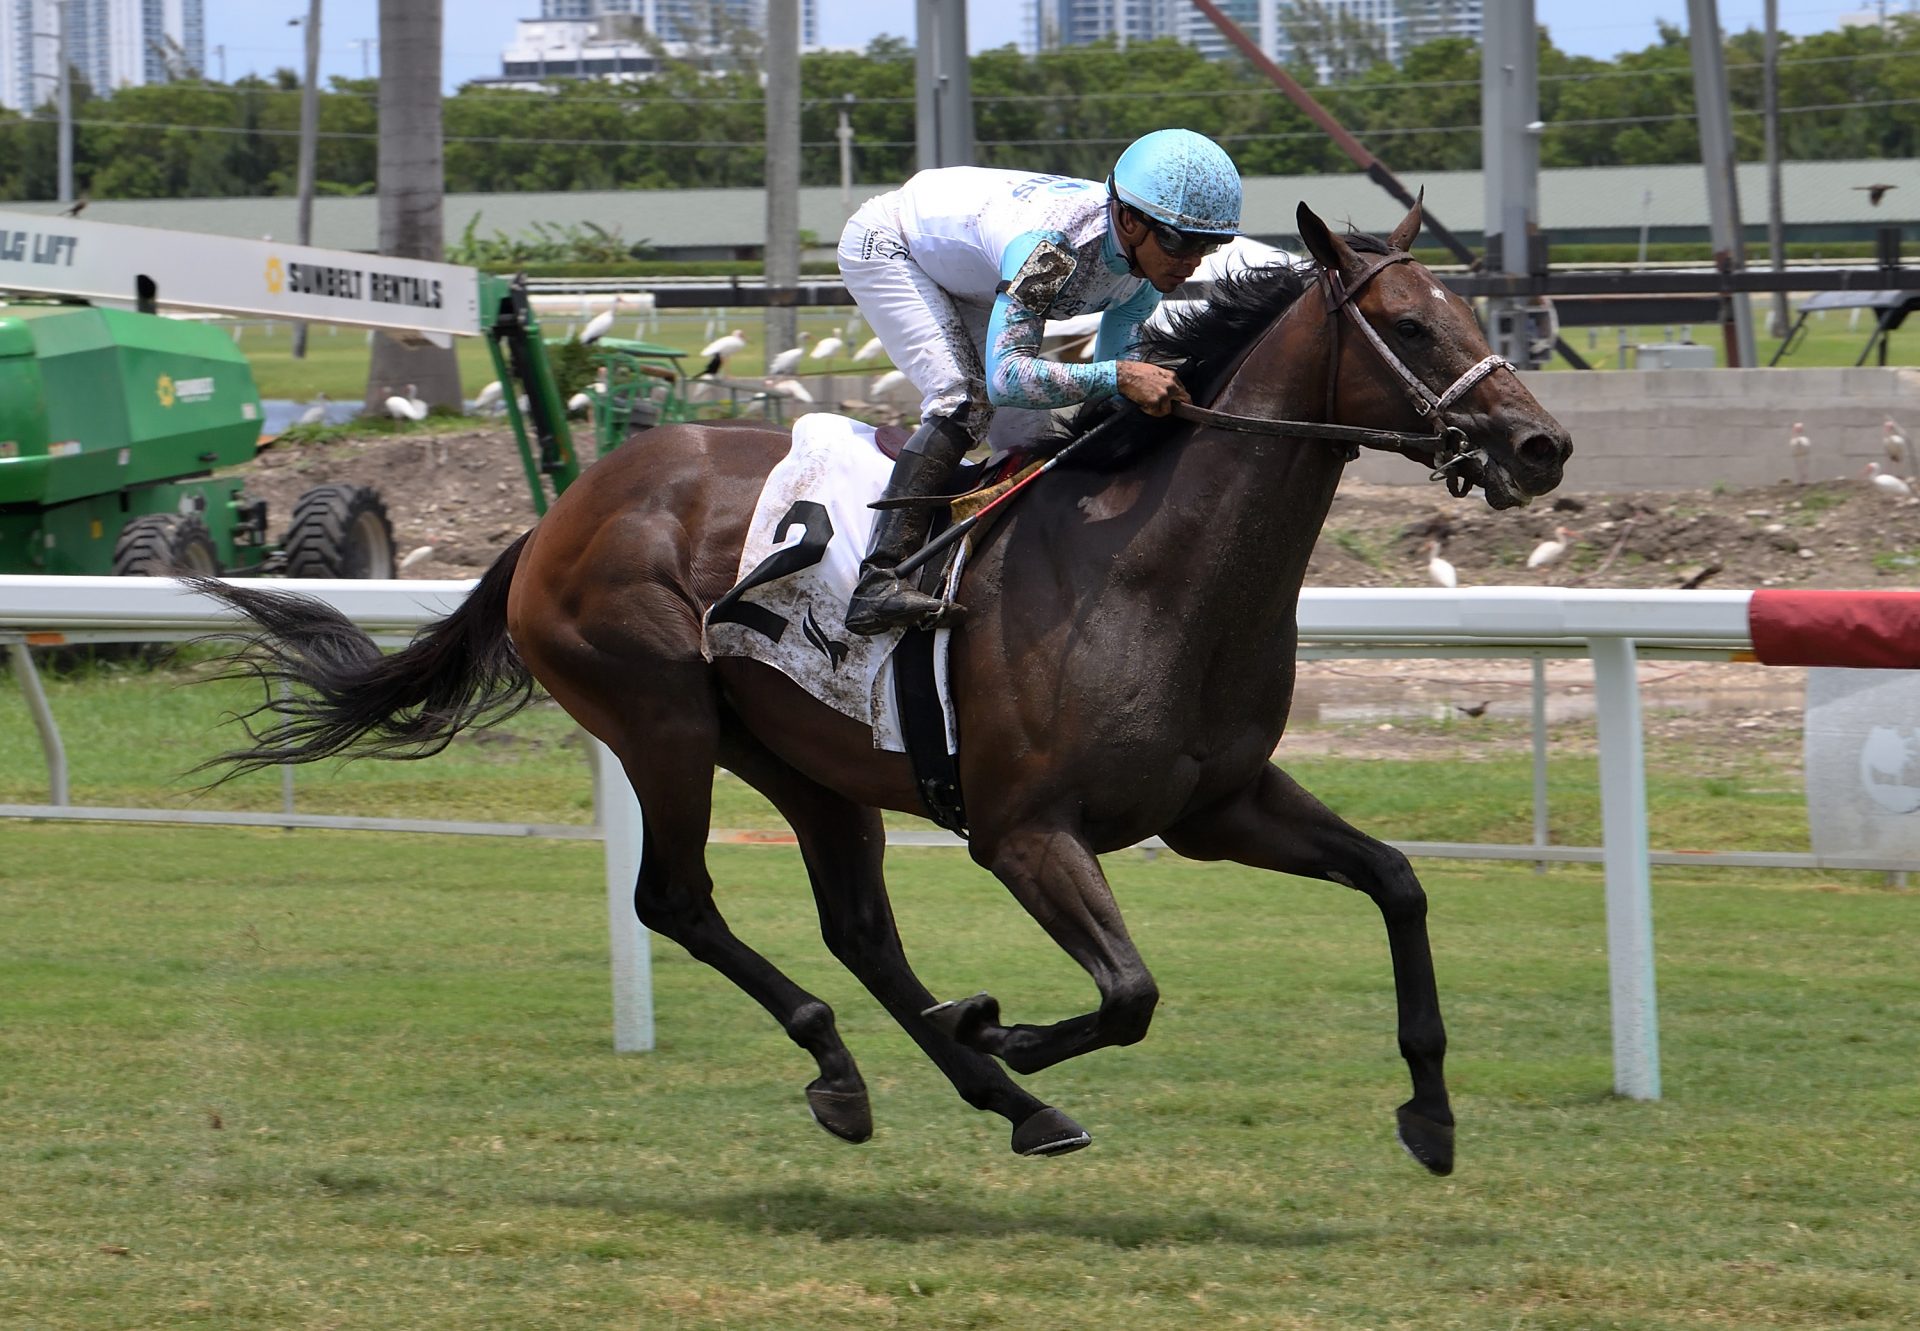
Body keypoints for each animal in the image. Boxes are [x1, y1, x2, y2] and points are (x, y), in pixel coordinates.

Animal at [198, 199, 1574, 1175]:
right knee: (678, 898)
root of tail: (557, 515)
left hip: (807, 759)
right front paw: (1000, 1023)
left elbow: (1397, 881)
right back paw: (865, 1069)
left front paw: (1432, 1113)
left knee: (857, 926)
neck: (1147, 568)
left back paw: (1008, 1102)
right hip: (661, 716)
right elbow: (1129, 992)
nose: (1542, 443)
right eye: (1412, 327)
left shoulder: (1218, 804)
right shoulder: (1026, 832)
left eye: (1469, 313)